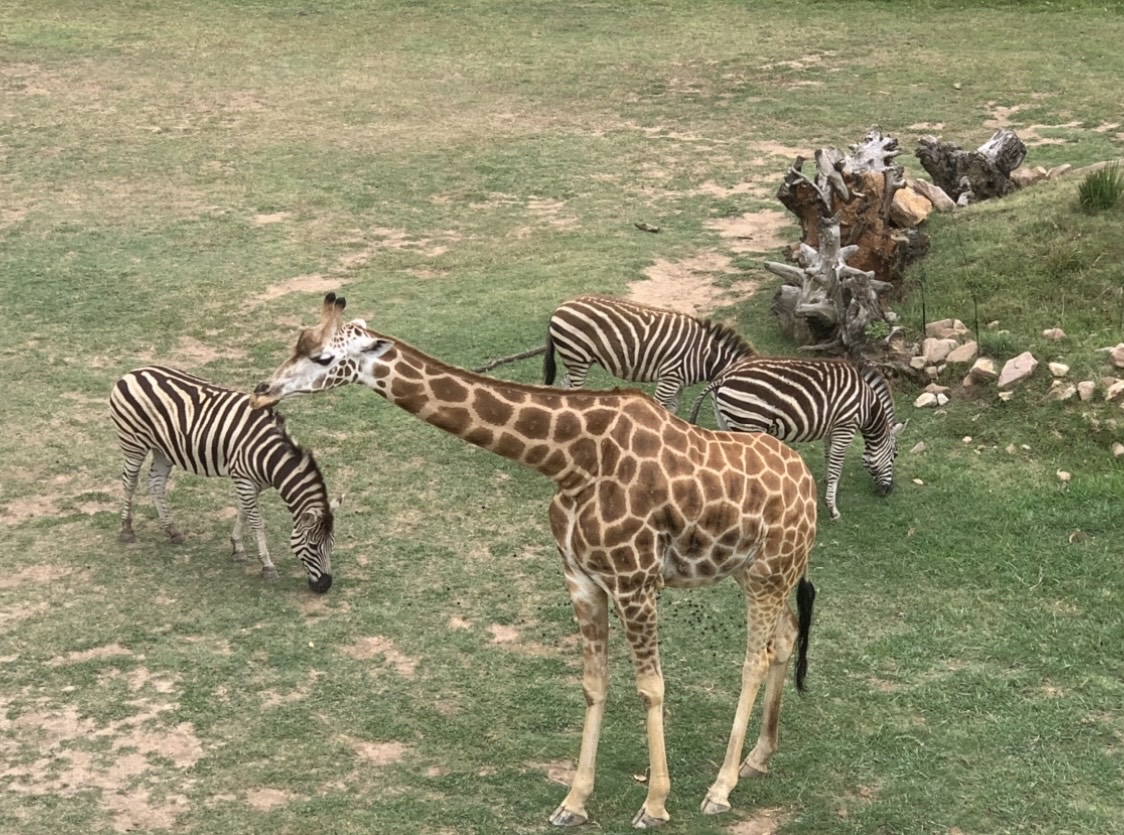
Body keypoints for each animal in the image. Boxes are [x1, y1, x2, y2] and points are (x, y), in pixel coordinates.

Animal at [110, 366, 339, 593]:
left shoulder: (250, 482)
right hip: (133, 443)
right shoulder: (244, 480)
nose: (325, 585)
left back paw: (172, 530)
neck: (271, 458)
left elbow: (244, 513)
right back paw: (126, 530)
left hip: (162, 449)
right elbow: (257, 522)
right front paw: (267, 566)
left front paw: (237, 547)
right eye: (313, 546)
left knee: (156, 483)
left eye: (331, 544)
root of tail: (133, 372)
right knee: (129, 483)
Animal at [543, 294, 755, 413]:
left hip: (578, 359)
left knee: (566, 382)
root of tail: (560, 307)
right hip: (577, 357)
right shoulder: (669, 378)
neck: (704, 355)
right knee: (574, 386)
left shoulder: (679, 383)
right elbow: (660, 407)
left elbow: (672, 410)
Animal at [689, 357, 905, 520]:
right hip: (749, 423)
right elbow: (837, 465)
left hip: (726, 422)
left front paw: (827, 484)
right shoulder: (846, 426)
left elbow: (829, 457)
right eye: (895, 455)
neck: (867, 406)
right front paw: (832, 508)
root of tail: (725, 377)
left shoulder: (832, 427)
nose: (888, 491)